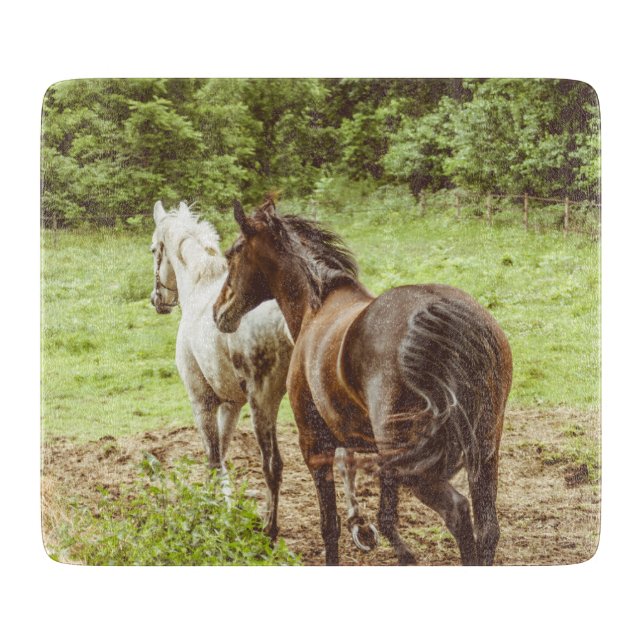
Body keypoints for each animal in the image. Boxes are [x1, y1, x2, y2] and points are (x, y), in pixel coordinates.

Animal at [150, 200, 378, 548]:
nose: (158, 300)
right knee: (346, 458)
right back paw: (358, 524)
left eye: (154, 250)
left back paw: (269, 529)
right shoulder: (231, 404)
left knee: (273, 465)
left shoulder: (202, 402)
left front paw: (212, 512)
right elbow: (222, 454)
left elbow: (214, 458)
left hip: (264, 404)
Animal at [213, 199, 513, 565]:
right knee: (488, 529)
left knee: (457, 512)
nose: (219, 310)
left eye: (233, 253)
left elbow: (330, 525)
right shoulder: (379, 455)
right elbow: (385, 517)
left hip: (419, 463)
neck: (317, 305)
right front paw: (400, 552)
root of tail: (444, 313)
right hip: (483, 452)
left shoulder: (314, 446)